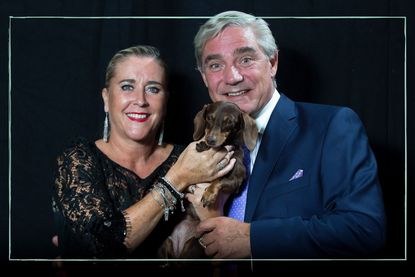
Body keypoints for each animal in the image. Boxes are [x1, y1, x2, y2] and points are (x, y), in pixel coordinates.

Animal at [158, 101, 258, 258]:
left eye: (229, 122)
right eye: (209, 118)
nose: (210, 140)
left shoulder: (236, 179)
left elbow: (219, 181)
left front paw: (209, 194)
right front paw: (202, 145)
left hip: (193, 248)